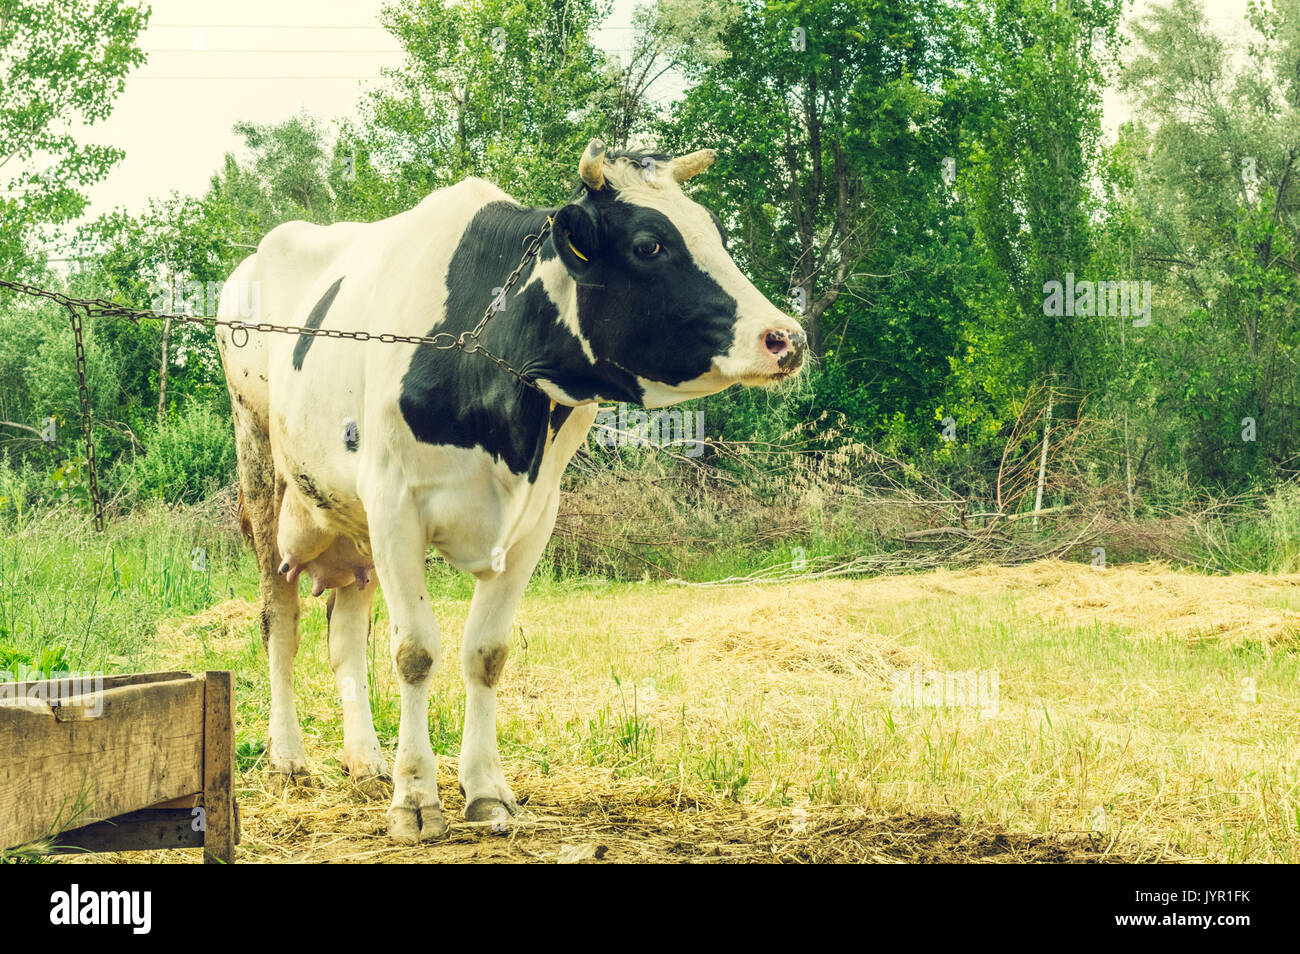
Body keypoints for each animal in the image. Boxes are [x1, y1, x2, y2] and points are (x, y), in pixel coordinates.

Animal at [215, 139, 807, 841]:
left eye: (714, 232)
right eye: (649, 245)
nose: (788, 338)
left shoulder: (532, 519)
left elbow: (486, 653)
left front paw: (485, 791)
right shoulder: (394, 503)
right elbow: (415, 651)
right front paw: (416, 800)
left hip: (351, 524)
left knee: (345, 637)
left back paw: (365, 763)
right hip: (261, 467)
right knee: (279, 622)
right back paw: (289, 758)